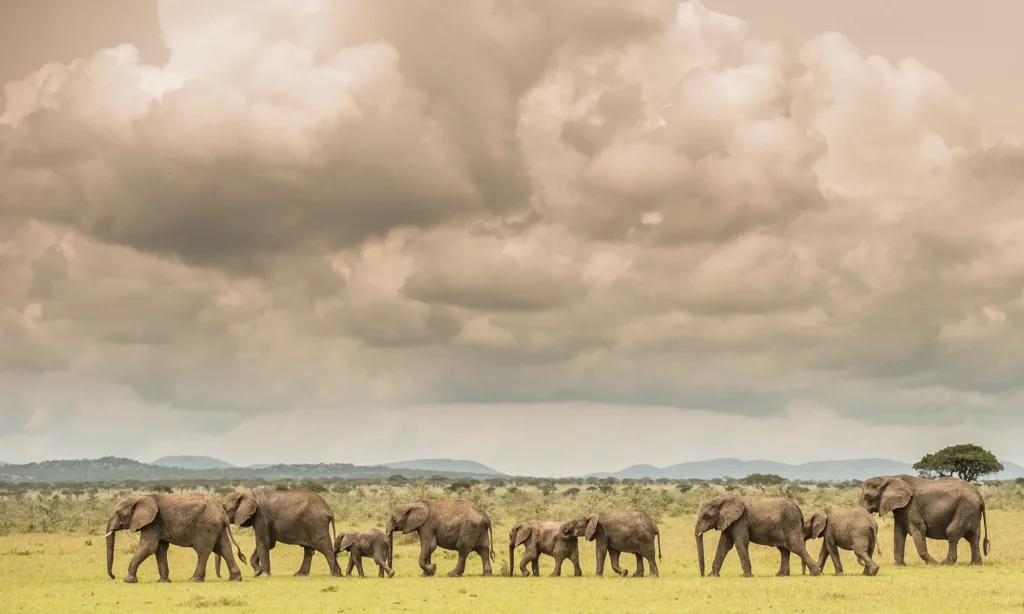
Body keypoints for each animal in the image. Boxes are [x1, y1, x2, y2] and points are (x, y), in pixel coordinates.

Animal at [104, 493, 246, 584]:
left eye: (119, 514)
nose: (114, 576)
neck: (140, 498)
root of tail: (222, 514)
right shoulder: (157, 525)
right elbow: (160, 549)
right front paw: (163, 581)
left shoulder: (153, 523)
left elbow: (148, 547)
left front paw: (128, 580)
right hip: (217, 527)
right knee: (224, 548)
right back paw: (235, 579)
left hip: (206, 526)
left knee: (203, 551)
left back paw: (193, 580)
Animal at [860, 474, 990, 566]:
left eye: (869, 497)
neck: (888, 477)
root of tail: (980, 497)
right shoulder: (901, 508)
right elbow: (898, 533)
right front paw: (900, 565)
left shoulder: (912, 506)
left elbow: (918, 529)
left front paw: (933, 564)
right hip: (971, 512)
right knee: (974, 537)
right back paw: (976, 564)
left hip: (965, 509)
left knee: (952, 533)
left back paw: (945, 563)